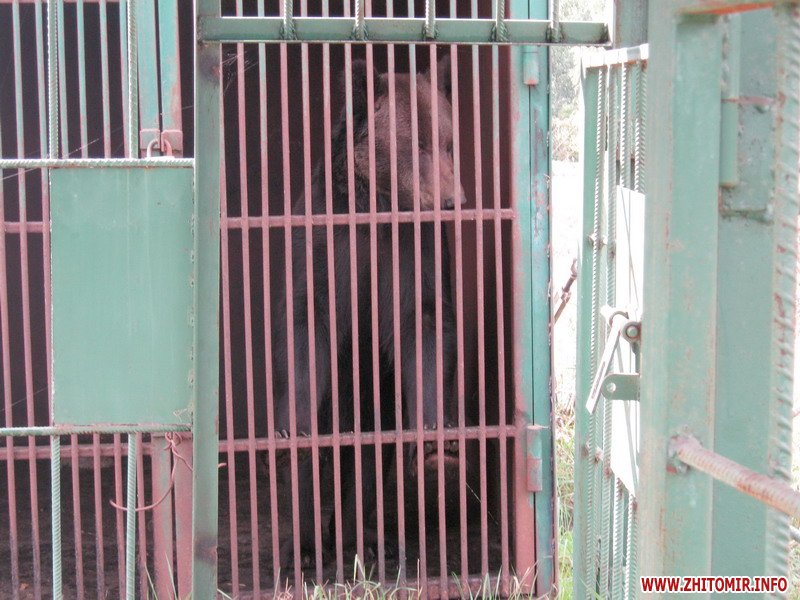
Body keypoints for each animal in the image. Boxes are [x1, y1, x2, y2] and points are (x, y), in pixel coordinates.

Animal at [270, 53, 464, 568]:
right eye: (417, 144)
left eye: (449, 143)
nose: (453, 201)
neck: (374, 208)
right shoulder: (324, 248)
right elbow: (306, 328)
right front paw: (296, 441)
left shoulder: (411, 256)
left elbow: (424, 326)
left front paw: (437, 446)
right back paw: (305, 546)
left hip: (378, 396)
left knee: (370, 458)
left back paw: (367, 539)